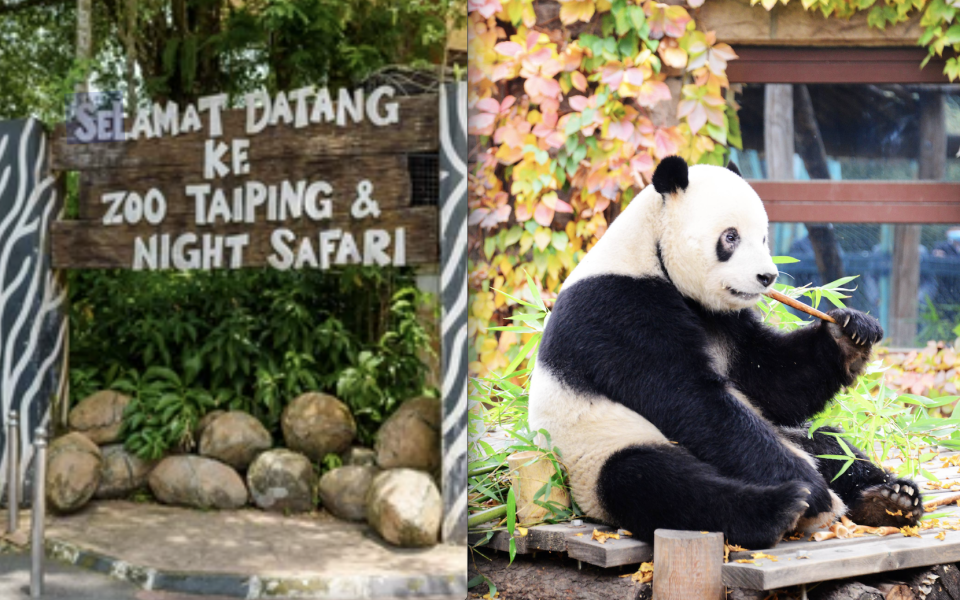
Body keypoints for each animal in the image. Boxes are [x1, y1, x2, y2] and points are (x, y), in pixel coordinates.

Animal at [528, 157, 928, 552]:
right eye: (730, 237)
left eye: (763, 237)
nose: (767, 277)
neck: (651, 253)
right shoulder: (619, 309)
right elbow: (691, 399)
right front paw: (812, 489)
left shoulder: (725, 322)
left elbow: (770, 381)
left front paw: (850, 331)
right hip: (597, 450)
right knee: (657, 483)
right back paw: (784, 505)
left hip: (790, 434)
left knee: (831, 445)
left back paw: (889, 499)